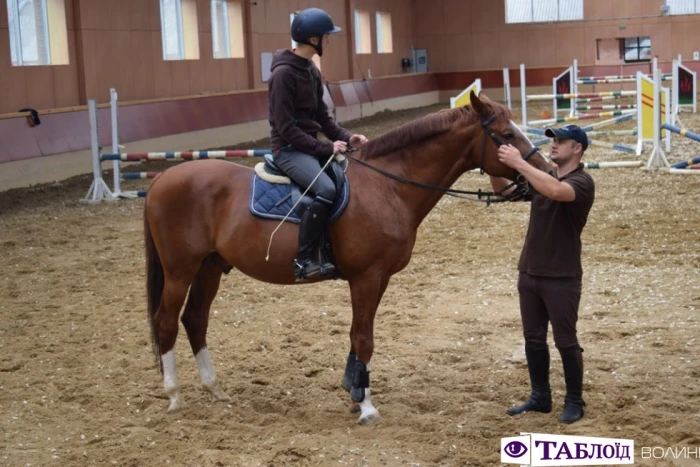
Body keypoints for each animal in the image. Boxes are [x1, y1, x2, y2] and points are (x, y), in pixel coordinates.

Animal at [145, 91, 556, 424]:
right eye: (506, 135)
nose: (548, 171)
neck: (388, 185)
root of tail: (162, 179)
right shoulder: (367, 276)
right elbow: (363, 337)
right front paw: (367, 406)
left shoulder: (379, 278)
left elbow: (359, 335)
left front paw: (353, 391)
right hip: (180, 269)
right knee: (166, 322)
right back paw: (174, 396)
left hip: (209, 267)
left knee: (195, 320)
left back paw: (214, 389)